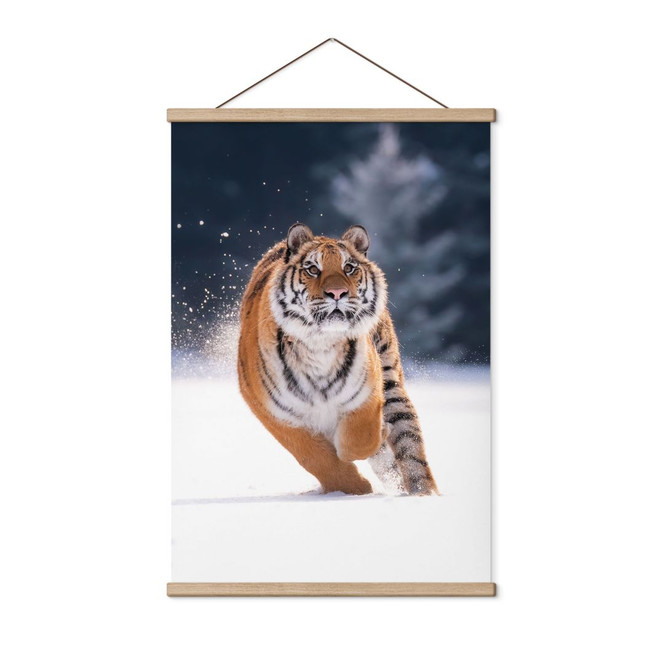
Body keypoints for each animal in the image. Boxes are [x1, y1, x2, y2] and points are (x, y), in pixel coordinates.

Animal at [237, 222, 438, 496]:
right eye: (313, 269)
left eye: (349, 268)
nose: (337, 293)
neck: (320, 343)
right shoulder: (273, 410)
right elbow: (314, 456)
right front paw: (356, 487)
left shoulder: (367, 391)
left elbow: (359, 439)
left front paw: (377, 434)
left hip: (392, 381)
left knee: (411, 449)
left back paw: (425, 494)